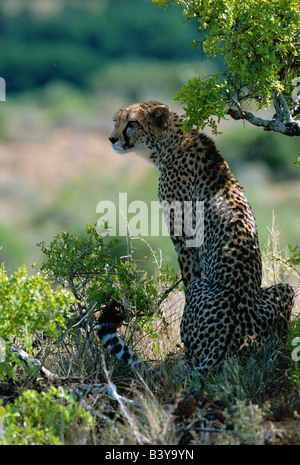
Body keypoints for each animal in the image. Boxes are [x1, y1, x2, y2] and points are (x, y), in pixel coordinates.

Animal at [106, 101, 296, 370]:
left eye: (132, 123)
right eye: (117, 121)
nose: (112, 138)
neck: (171, 143)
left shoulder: (183, 240)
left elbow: (187, 279)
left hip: (203, 293)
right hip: (284, 290)